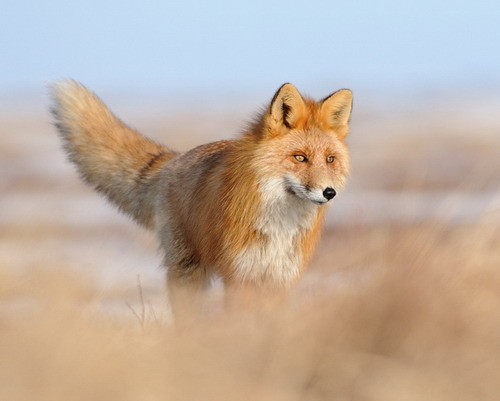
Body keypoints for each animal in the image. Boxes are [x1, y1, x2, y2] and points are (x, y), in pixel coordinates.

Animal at [50, 81, 352, 316]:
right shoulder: (239, 276)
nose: (329, 192)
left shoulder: (280, 279)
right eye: (299, 158)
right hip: (188, 273)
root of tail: (175, 158)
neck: (279, 225)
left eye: (330, 159)